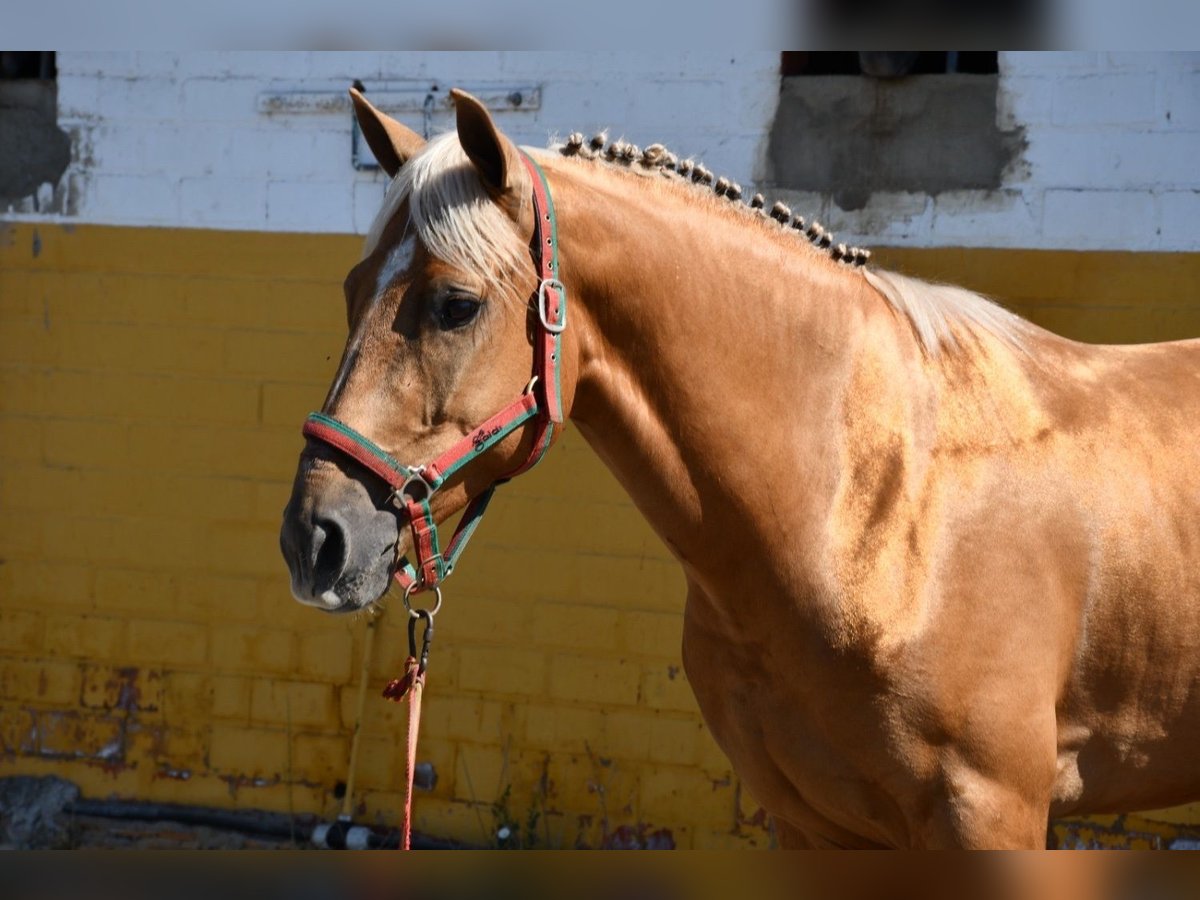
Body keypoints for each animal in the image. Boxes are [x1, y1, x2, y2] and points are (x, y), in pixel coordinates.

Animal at [283, 88, 1200, 849]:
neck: (874, 509)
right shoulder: (811, 824)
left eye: (456, 304)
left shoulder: (991, 815)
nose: (313, 540)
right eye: (351, 288)